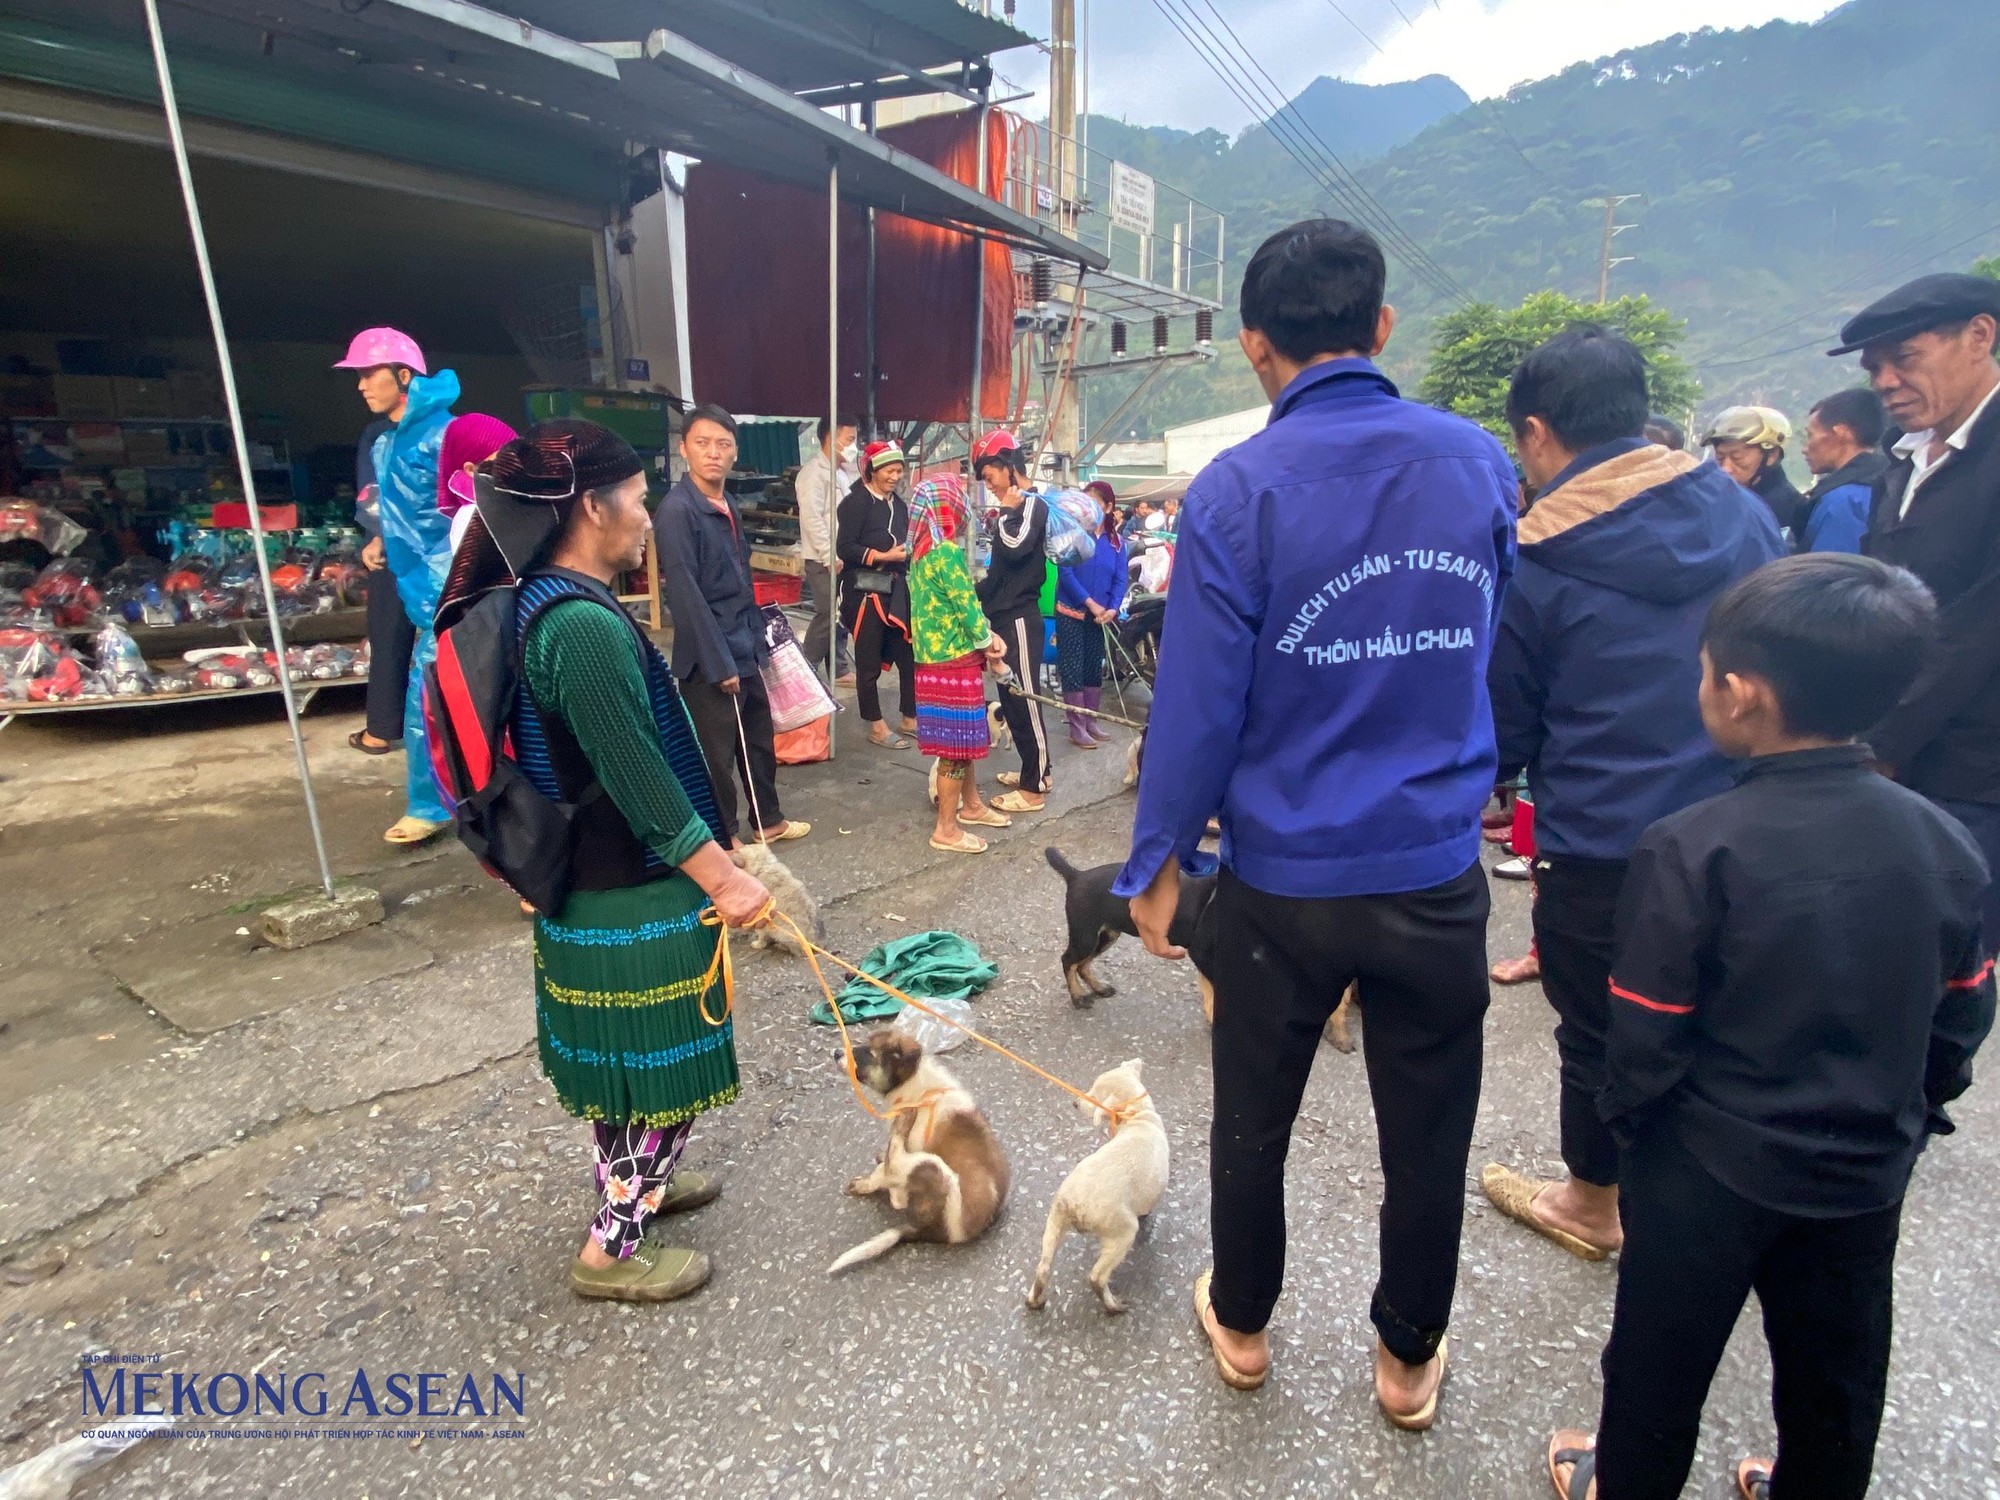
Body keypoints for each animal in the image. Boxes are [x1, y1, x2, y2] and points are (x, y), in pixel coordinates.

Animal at [832, 1040, 1016, 1272]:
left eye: (870, 1054)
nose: (836, 1052)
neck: (920, 1091)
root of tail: (929, 1231)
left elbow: (884, 1176)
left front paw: (867, 1182)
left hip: (933, 1168)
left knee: (896, 1187)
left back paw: (900, 1128)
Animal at [1024, 1056, 1168, 1312]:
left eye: (1094, 1096)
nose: (1075, 1103)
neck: (1135, 1117)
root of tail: (1075, 1204)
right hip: (1122, 1232)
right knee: (1097, 1277)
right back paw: (1114, 1306)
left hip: (1054, 1221)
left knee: (1043, 1267)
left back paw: (1034, 1300)